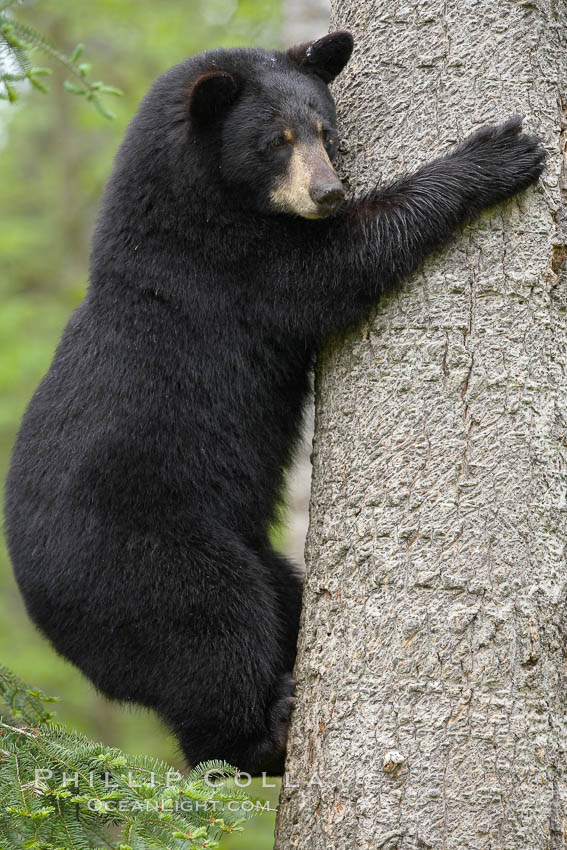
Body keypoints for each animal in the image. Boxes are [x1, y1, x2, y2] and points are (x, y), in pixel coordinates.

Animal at [5, 31, 544, 776]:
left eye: (326, 131)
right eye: (276, 140)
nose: (329, 191)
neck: (190, 209)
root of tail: (39, 609)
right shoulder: (234, 271)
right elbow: (340, 265)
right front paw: (495, 154)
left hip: (245, 553)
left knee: (278, 602)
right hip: (141, 556)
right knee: (210, 637)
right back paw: (267, 730)